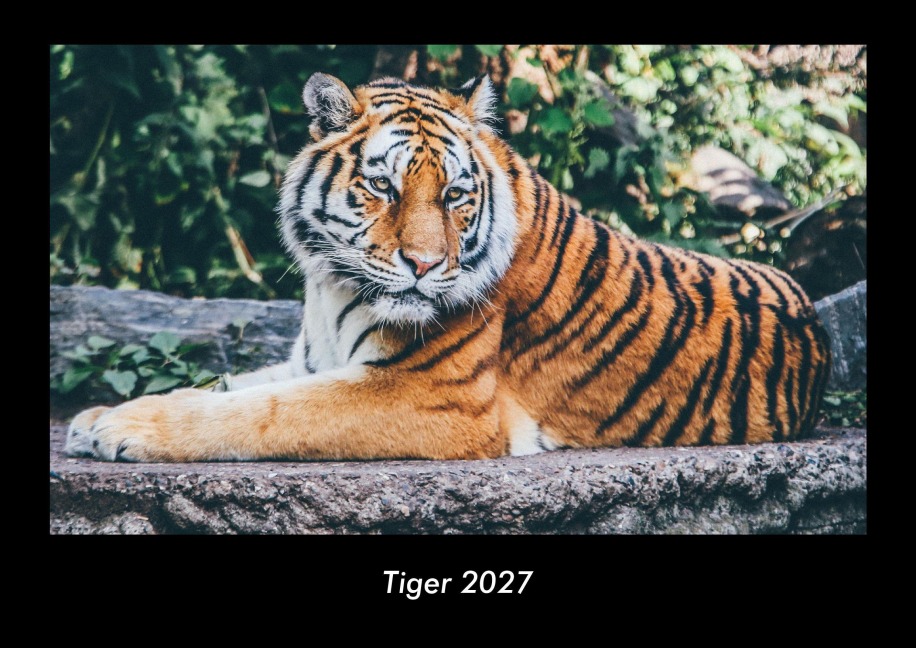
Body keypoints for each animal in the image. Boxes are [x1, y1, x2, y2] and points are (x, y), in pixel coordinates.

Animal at [65, 72, 832, 462]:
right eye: (383, 187)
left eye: (456, 196)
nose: (425, 265)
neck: (330, 286)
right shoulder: (311, 360)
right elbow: (227, 386)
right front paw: (98, 415)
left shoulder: (430, 396)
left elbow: (260, 413)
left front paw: (121, 430)